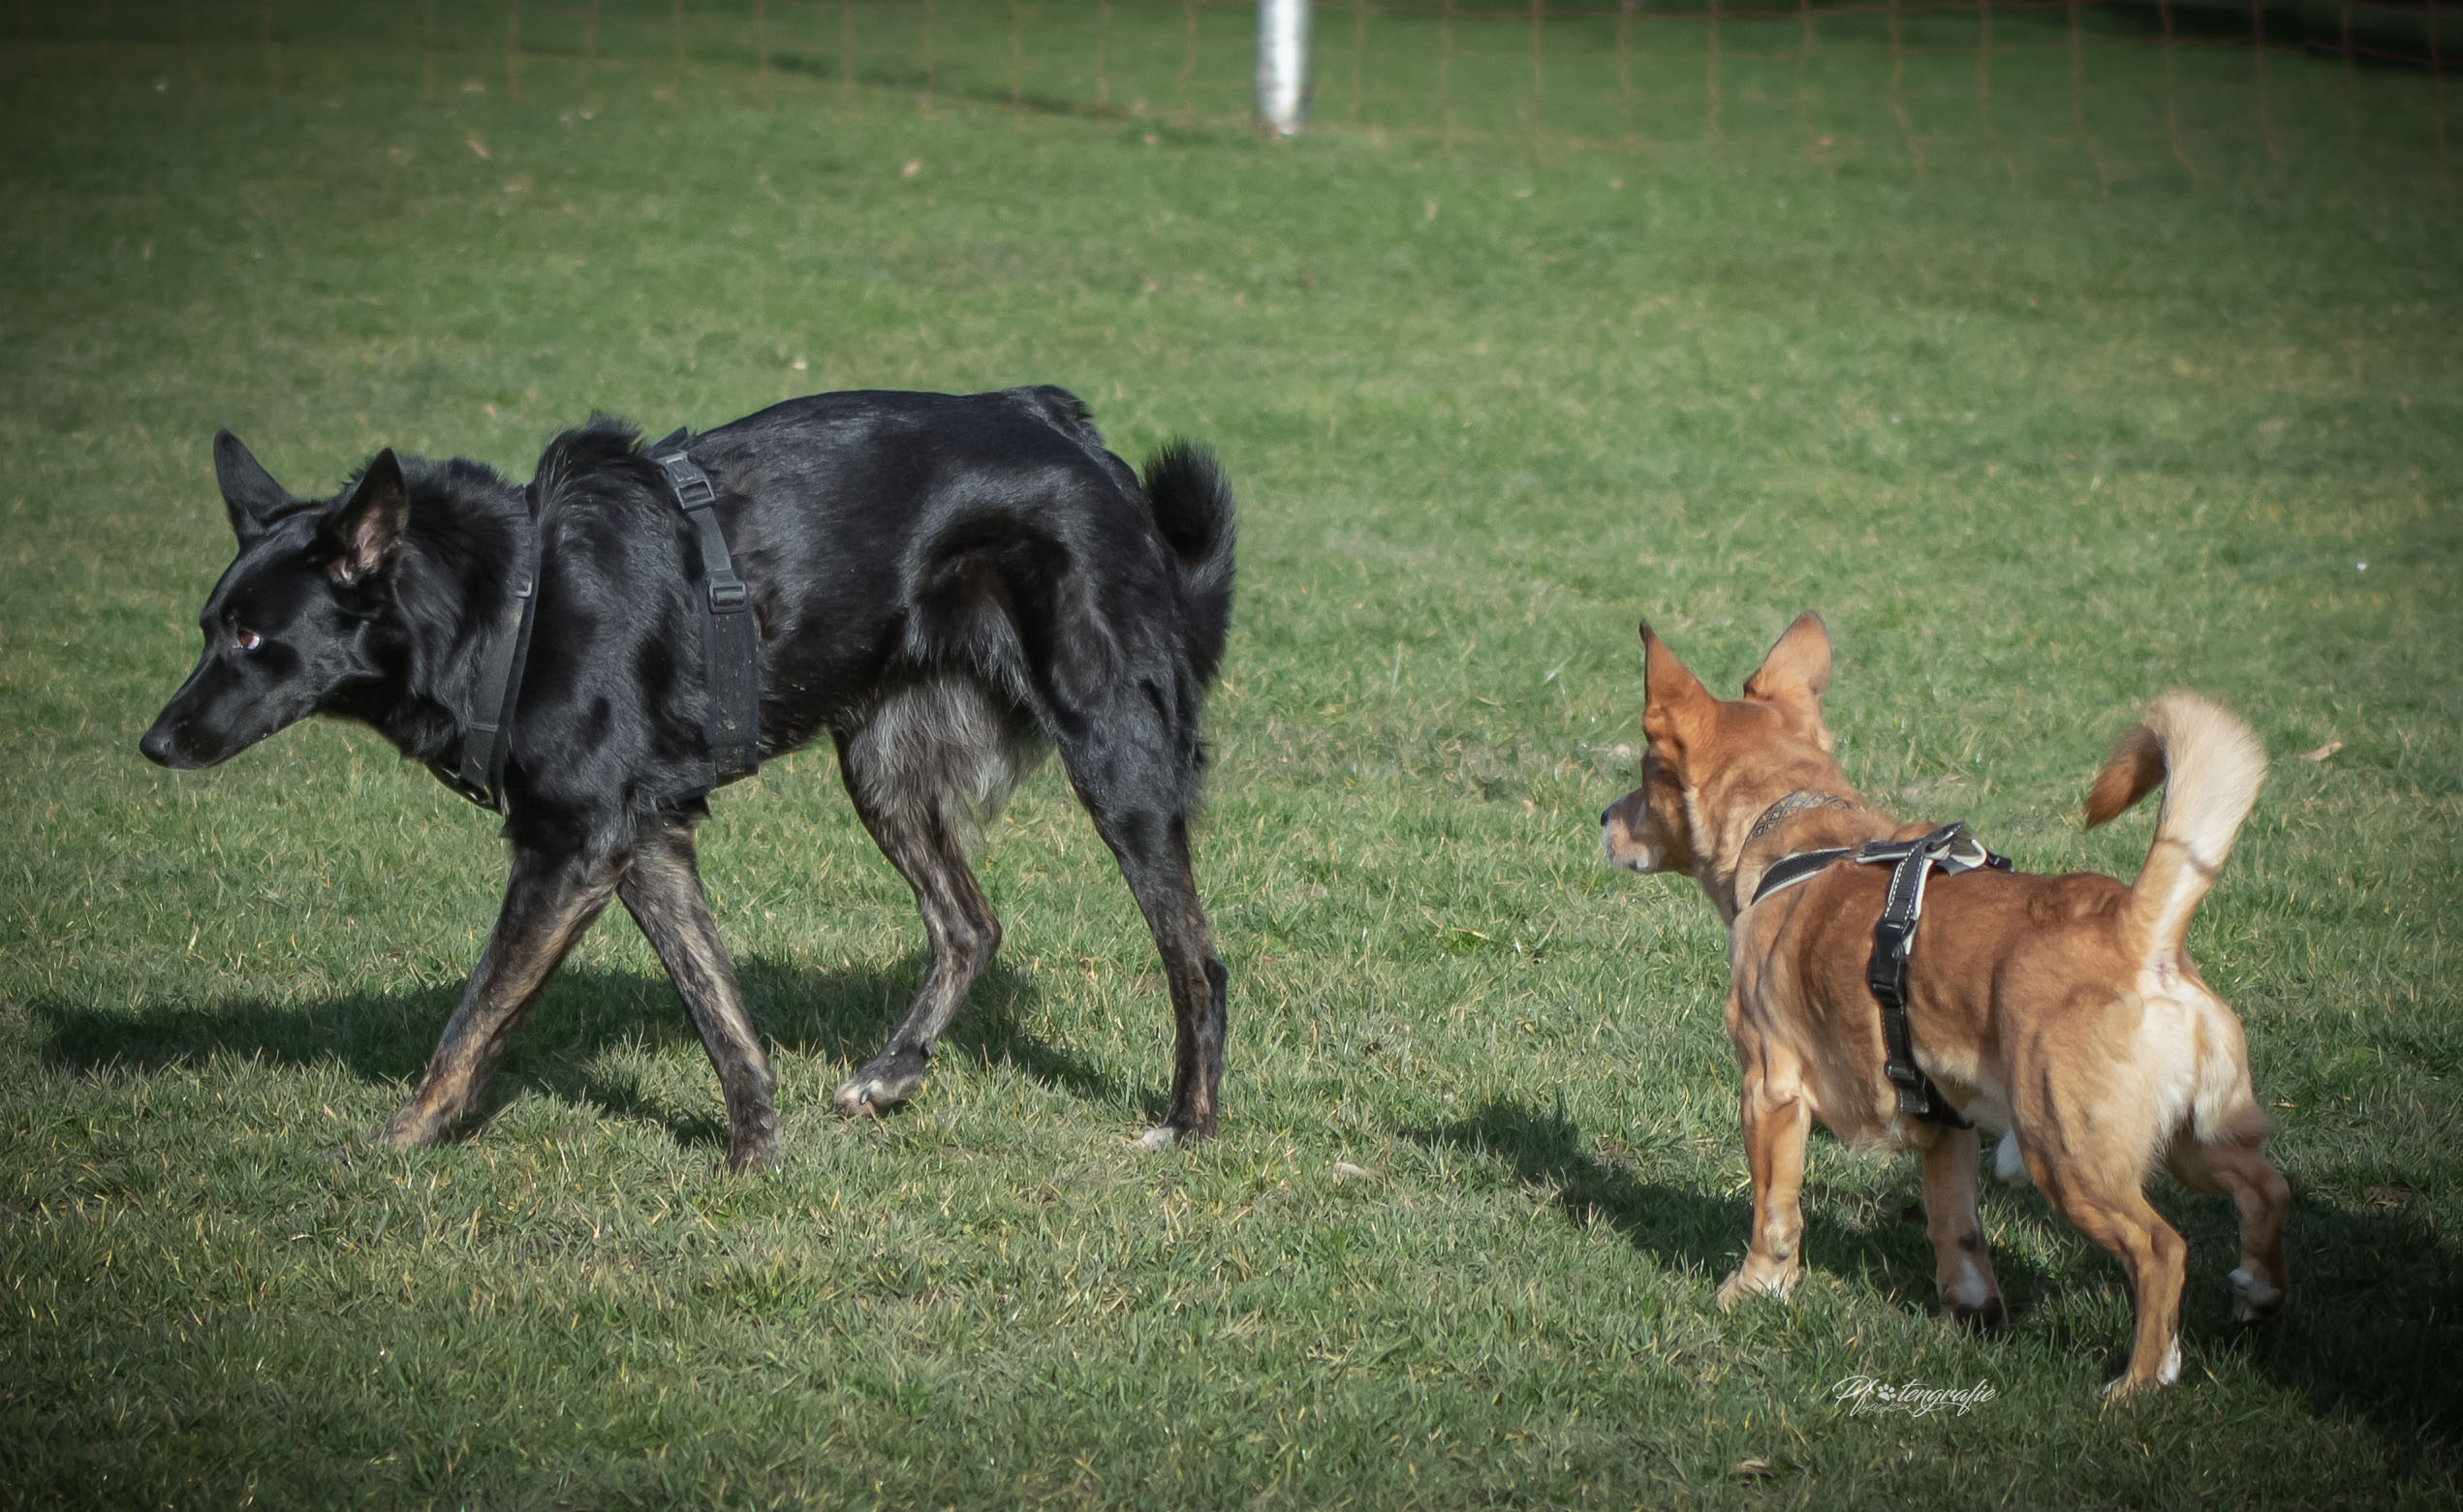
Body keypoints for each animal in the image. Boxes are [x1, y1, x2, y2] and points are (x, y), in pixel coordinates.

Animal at [140, 391, 1232, 1172]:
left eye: (251, 639)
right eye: (207, 627)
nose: (152, 740)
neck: (509, 602)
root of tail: (1075, 434)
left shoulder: (569, 851)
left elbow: (469, 1023)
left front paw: (387, 1150)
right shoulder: (646, 843)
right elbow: (722, 1017)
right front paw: (754, 1160)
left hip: (1114, 754)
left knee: (1196, 961)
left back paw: (1188, 1124)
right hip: (880, 766)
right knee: (970, 925)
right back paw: (890, 1074)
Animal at [1606, 615, 2275, 1399]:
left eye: (1645, 775)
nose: (1603, 817)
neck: (1795, 830)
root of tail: (2141, 932)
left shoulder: (1769, 1090)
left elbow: (1774, 1210)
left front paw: (1753, 1289)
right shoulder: (1944, 1119)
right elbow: (1956, 1229)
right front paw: (1974, 1312)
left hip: (2069, 1155)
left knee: (2162, 1249)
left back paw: (2138, 1382)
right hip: (2194, 1137)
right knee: (2265, 1186)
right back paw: (2257, 1292)